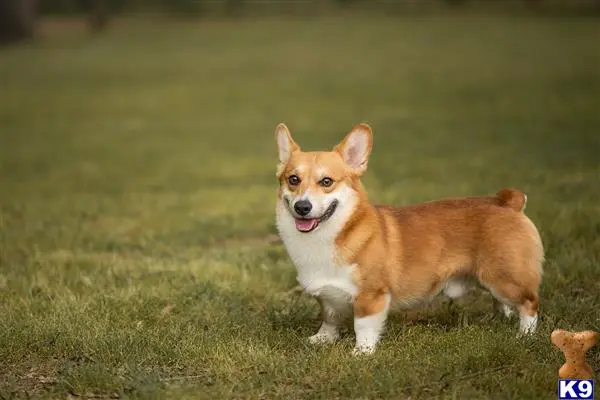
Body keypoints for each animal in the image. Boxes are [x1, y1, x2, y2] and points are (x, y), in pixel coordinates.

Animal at [276, 123, 544, 354]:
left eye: (326, 182)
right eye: (293, 179)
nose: (302, 207)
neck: (334, 232)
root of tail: (508, 202)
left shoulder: (371, 296)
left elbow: (363, 326)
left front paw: (361, 352)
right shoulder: (327, 296)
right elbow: (330, 318)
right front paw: (321, 339)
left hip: (503, 277)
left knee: (529, 303)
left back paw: (524, 336)